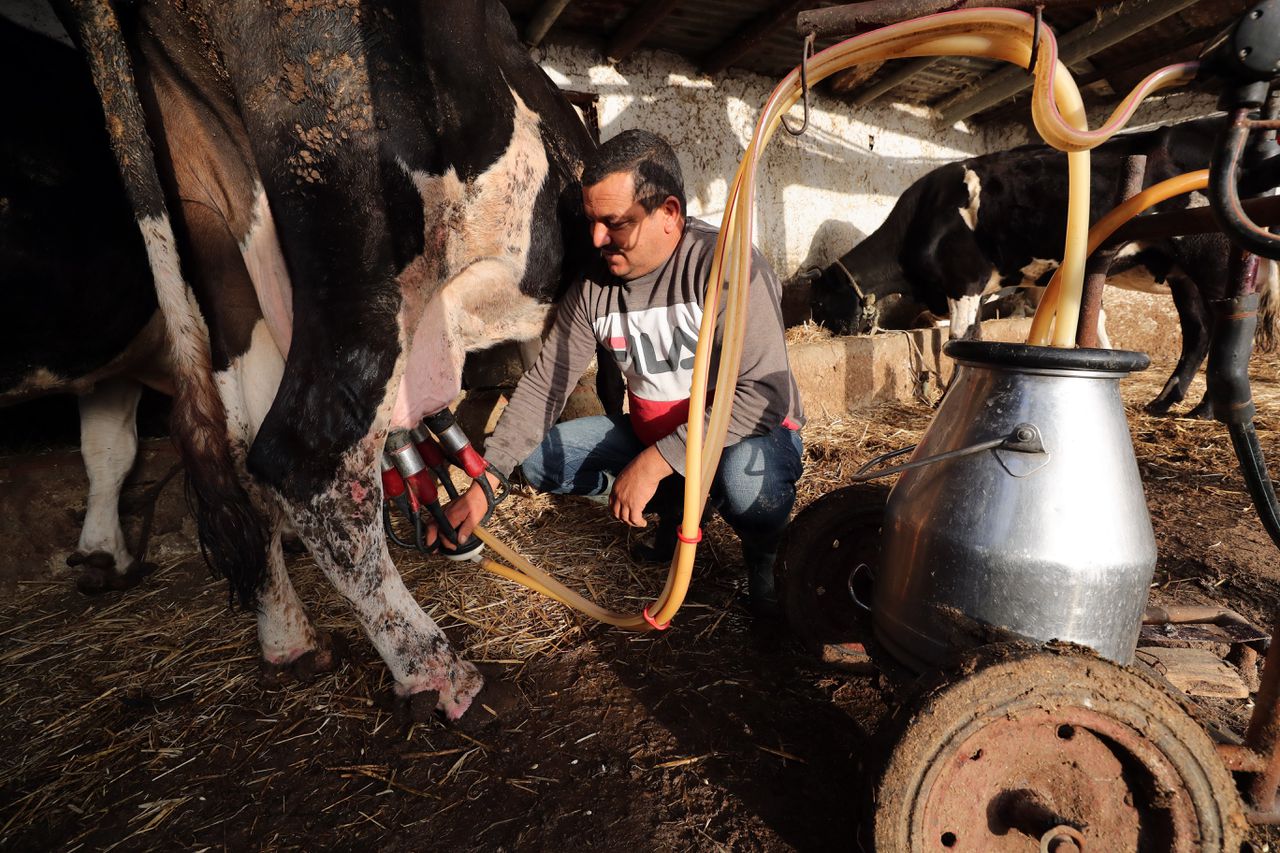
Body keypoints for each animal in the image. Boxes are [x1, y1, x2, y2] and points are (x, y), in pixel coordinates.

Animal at [56, 0, 599, 717]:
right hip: (360, 237)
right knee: (304, 456)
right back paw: (437, 672)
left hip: (218, 236)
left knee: (236, 449)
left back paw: (291, 640)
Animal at [814, 115, 1274, 414]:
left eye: (821, 306)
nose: (830, 333)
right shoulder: (1015, 285)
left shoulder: (964, 280)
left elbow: (960, 339)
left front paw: (947, 399)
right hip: (1183, 276)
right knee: (1198, 333)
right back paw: (1164, 402)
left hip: (1213, 262)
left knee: (1226, 332)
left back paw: (1206, 408)